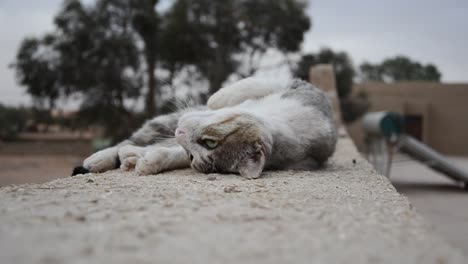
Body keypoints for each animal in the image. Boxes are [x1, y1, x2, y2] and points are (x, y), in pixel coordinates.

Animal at [72, 77, 336, 178]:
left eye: (205, 147)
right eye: (211, 141)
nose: (180, 132)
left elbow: (171, 154)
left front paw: (150, 162)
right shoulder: (299, 87)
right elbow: (241, 88)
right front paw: (215, 99)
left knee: (137, 146)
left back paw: (131, 157)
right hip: (164, 122)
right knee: (131, 140)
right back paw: (99, 159)